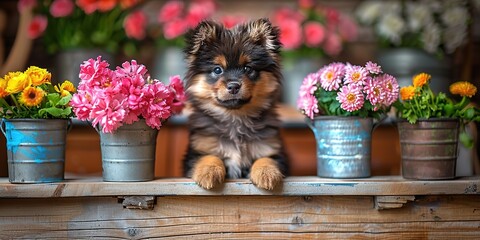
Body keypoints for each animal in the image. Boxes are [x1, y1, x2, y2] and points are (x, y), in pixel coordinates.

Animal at [182, 18, 286, 189]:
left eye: (247, 68)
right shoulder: (199, 149)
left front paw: (267, 174)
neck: (235, 117)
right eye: (217, 70)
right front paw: (208, 172)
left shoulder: (271, 148)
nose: (233, 86)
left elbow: (266, 159)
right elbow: (209, 157)